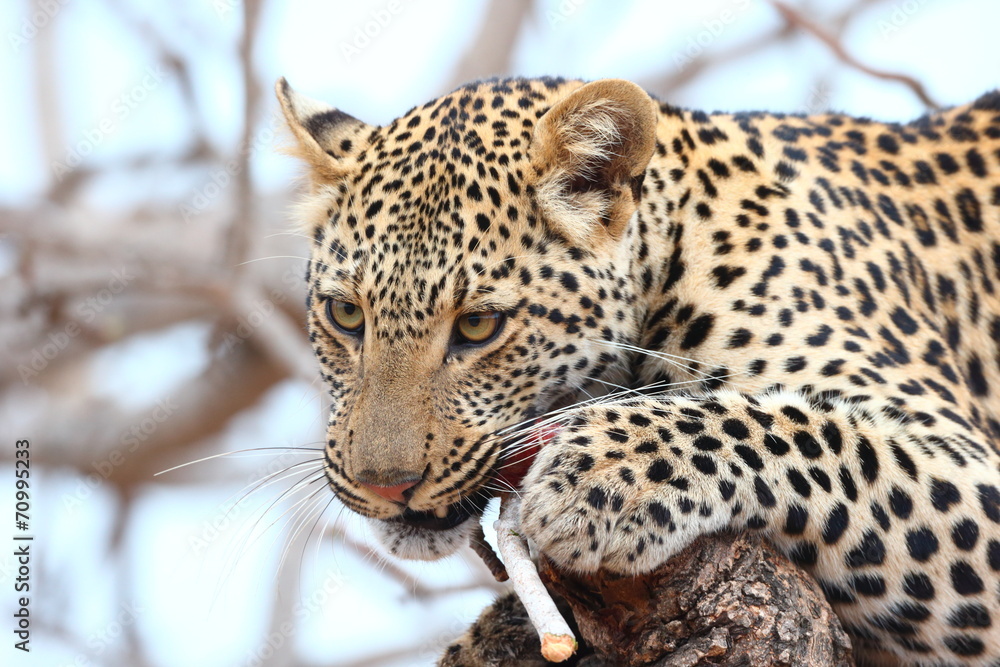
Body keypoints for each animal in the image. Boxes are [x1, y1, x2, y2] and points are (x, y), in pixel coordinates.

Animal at [275, 75, 1000, 665]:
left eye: (479, 326)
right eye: (345, 313)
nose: (386, 485)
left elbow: (814, 434)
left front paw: (602, 478)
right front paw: (494, 638)